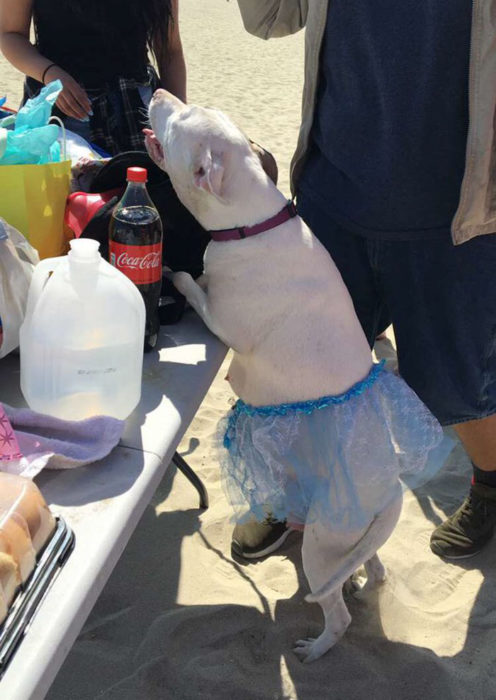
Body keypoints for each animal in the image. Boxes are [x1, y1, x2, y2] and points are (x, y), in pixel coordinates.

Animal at [145, 90, 444, 664]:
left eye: (181, 120)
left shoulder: (222, 321)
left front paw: (178, 275)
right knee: (369, 566)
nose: (159, 94)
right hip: (349, 543)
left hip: (323, 545)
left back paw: (316, 648)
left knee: (337, 609)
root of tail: (390, 497)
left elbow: (194, 287)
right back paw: (363, 583)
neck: (253, 222)